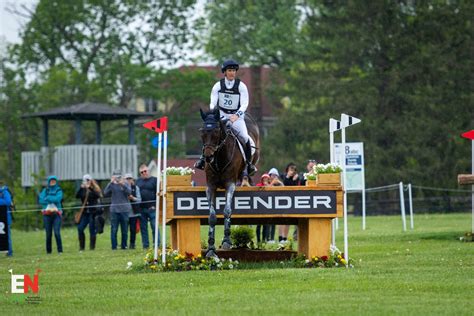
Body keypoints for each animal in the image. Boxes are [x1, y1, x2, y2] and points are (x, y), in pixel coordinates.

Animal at [199, 107, 262, 258]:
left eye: (216, 132)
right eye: (202, 132)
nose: (208, 157)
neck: (219, 157)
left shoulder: (230, 184)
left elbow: (227, 211)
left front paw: (227, 240)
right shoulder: (210, 187)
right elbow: (212, 216)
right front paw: (211, 248)